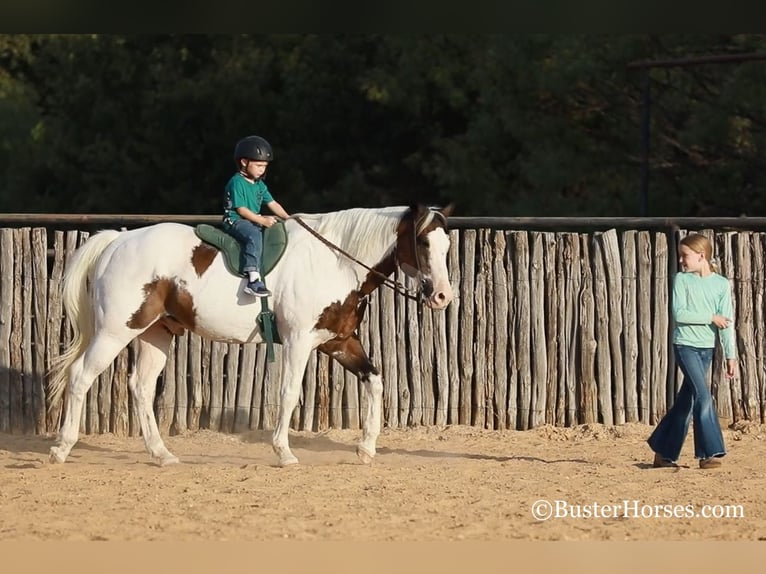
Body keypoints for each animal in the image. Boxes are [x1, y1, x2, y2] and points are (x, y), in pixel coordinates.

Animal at [46, 205, 456, 466]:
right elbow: (288, 393)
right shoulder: (299, 342)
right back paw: (61, 448)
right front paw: (284, 452)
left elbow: (375, 381)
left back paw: (161, 455)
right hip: (115, 331)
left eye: (447, 245)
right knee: (81, 377)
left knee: (141, 388)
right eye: (423, 243)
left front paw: (367, 448)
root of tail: (117, 242)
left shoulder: (338, 342)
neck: (336, 261)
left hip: (156, 334)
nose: (442, 296)